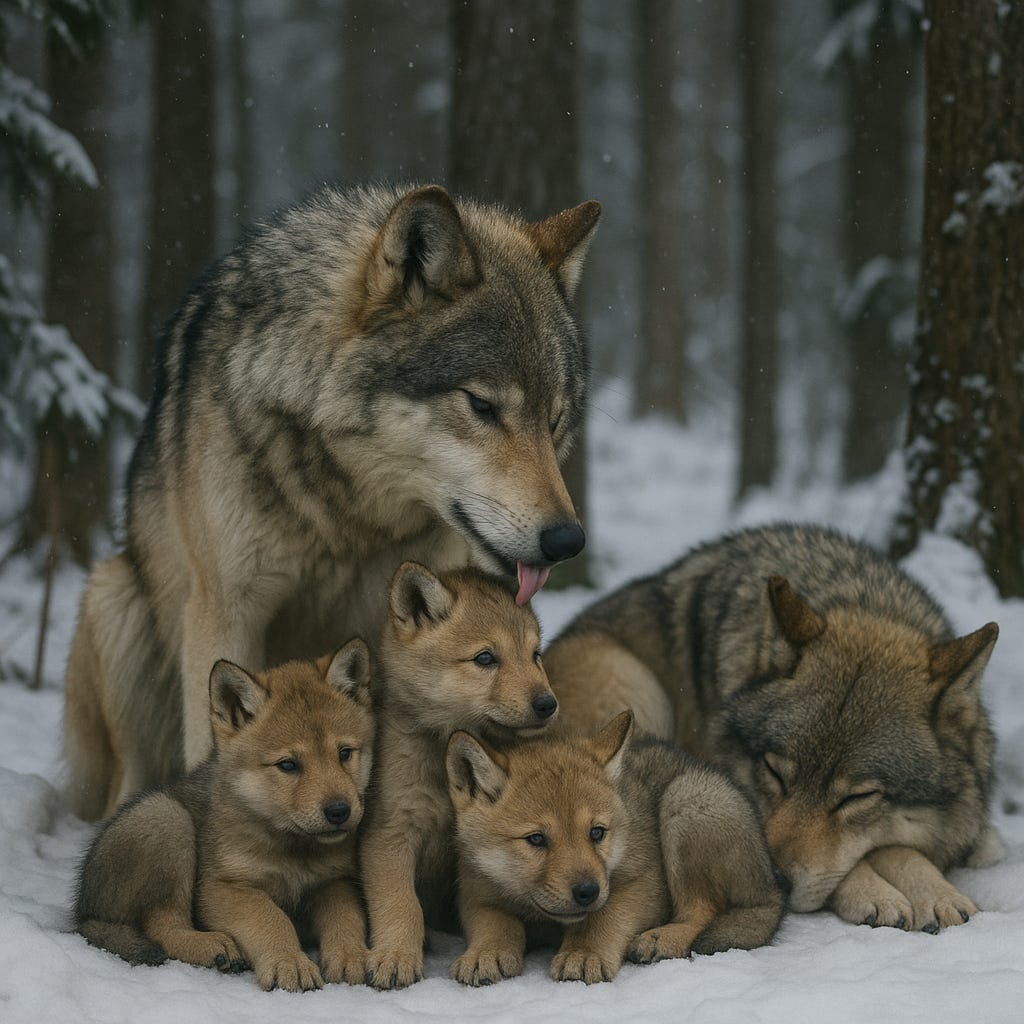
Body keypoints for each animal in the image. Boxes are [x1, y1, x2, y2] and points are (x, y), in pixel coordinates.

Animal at [64, 182, 600, 820]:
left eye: (555, 420)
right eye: (482, 406)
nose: (567, 540)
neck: (348, 517)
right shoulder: (225, 613)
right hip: (113, 598)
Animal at [75, 640, 374, 992]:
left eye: (344, 753)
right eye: (288, 764)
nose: (339, 811)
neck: (293, 849)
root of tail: (85, 910)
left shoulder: (334, 881)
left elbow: (346, 917)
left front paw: (351, 956)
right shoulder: (221, 887)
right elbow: (270, 917)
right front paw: (290, 963)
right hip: (166, 819)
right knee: (161, 925)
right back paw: (211, 945)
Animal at [360, 560, 558, 990]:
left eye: (535, 655)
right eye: (485, 658)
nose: (548, 704)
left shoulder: (473, 857)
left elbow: (491, 916)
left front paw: (488, 953)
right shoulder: (390, 835)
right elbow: (400, 904)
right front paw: (396, 955)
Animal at [446, 710, 783, 986]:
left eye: (597, 832)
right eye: (536, 839)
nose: (587, 891)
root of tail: (771, 888)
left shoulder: (643, 884)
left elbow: (602, 919)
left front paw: (583, 954)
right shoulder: (477, 892)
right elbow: (495, 923)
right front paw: (486, 953)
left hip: (686, 798)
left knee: (701, 911)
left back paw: (664, 938)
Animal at [543, 523, 1001, 932]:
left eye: (856, 797)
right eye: (775, 773)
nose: (777, 878)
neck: (856, 597)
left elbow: (904, 845)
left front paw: (937, 891)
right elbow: (873, 854)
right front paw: (883, 892)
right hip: (632, 681)